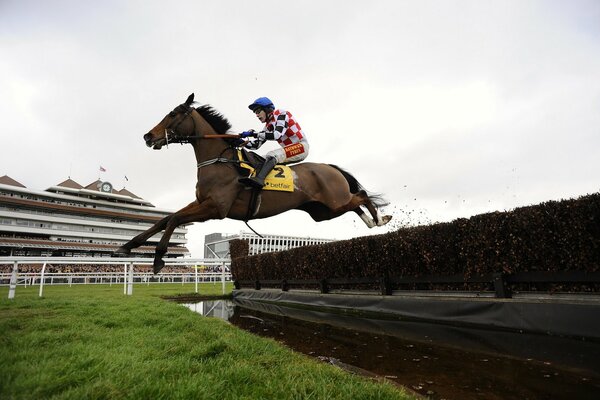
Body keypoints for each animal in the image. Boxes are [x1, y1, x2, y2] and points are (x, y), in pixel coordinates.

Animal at [115, 94, 392, 274]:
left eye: (172, 114)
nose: (148, 136)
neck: (219, 161)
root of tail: (331, 168)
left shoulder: (216, 209)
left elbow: (173, 219)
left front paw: (158, 259)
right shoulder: (201, 202)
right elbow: (166, 218)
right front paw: (127, 246)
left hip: (333, 202)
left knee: (362, 196)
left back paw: (380, 219)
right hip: (323, 212)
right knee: (355, 203)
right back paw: (372, 222)